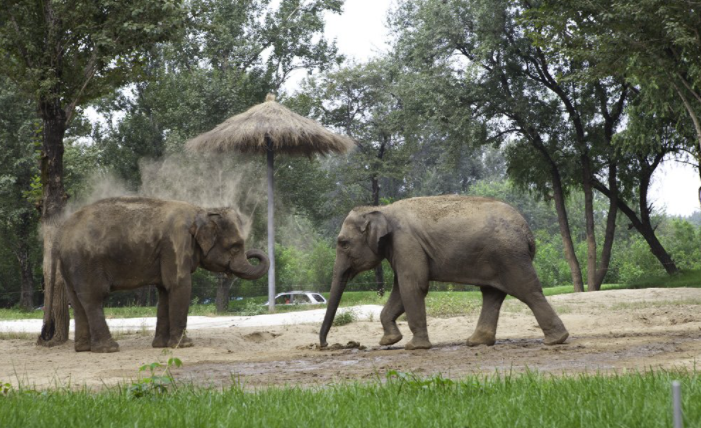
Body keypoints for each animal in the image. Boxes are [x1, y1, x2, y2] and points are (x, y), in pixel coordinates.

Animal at [39, 196, 268, 352]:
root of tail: (60, 233)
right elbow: (179, 285)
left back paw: (84, 349)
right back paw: (109, 348)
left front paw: (160, 346)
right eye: (235, 246)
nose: (252, 253)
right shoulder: (175, 244)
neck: (202, 210)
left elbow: (165, 290)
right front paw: (184, 345)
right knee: (93, 298)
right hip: (85, 263)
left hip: (70, 265)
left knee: (77, 301)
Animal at [318, 196, 568, 350]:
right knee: (492, 293)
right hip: (497, 258)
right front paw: (389, 341)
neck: (380, 209)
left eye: (343, 243)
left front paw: (414, 347)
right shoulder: (402, 248)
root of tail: (528, 232)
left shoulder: (406, 242)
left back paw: (556, 340)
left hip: (510, 257)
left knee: (528, 291)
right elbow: (401, 288)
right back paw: (476, 342)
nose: (325, 345)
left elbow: (413, 286)